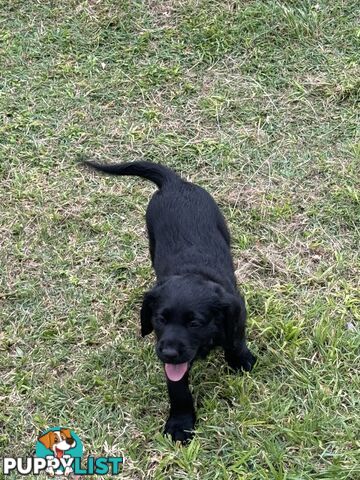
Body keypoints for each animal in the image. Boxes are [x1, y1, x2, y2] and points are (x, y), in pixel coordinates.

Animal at [83, 161, 256, 442]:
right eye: (160, 319)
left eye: (195, 323)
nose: (169, 353)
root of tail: (175, 183)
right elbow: (178, 389)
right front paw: (181, 422)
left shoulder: (237, 311)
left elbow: (235, 338)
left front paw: (240, 361)